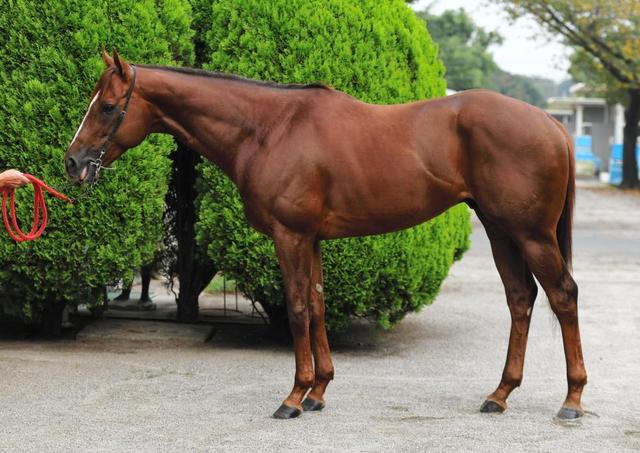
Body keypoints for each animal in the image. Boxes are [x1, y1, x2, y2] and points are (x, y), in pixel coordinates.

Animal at [64, 50, 586, 420]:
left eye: (107, 107)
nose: (72, 163)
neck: (269, 129)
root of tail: (550, 123)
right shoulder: (311, 238)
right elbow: (316, 305)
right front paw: (319, 391)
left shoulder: (290, 236)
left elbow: (297, 309)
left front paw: (293, 398)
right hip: (500, 230)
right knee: (520, 299)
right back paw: (499, 394)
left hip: (531, 234)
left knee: (562, 295)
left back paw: (572, 400)